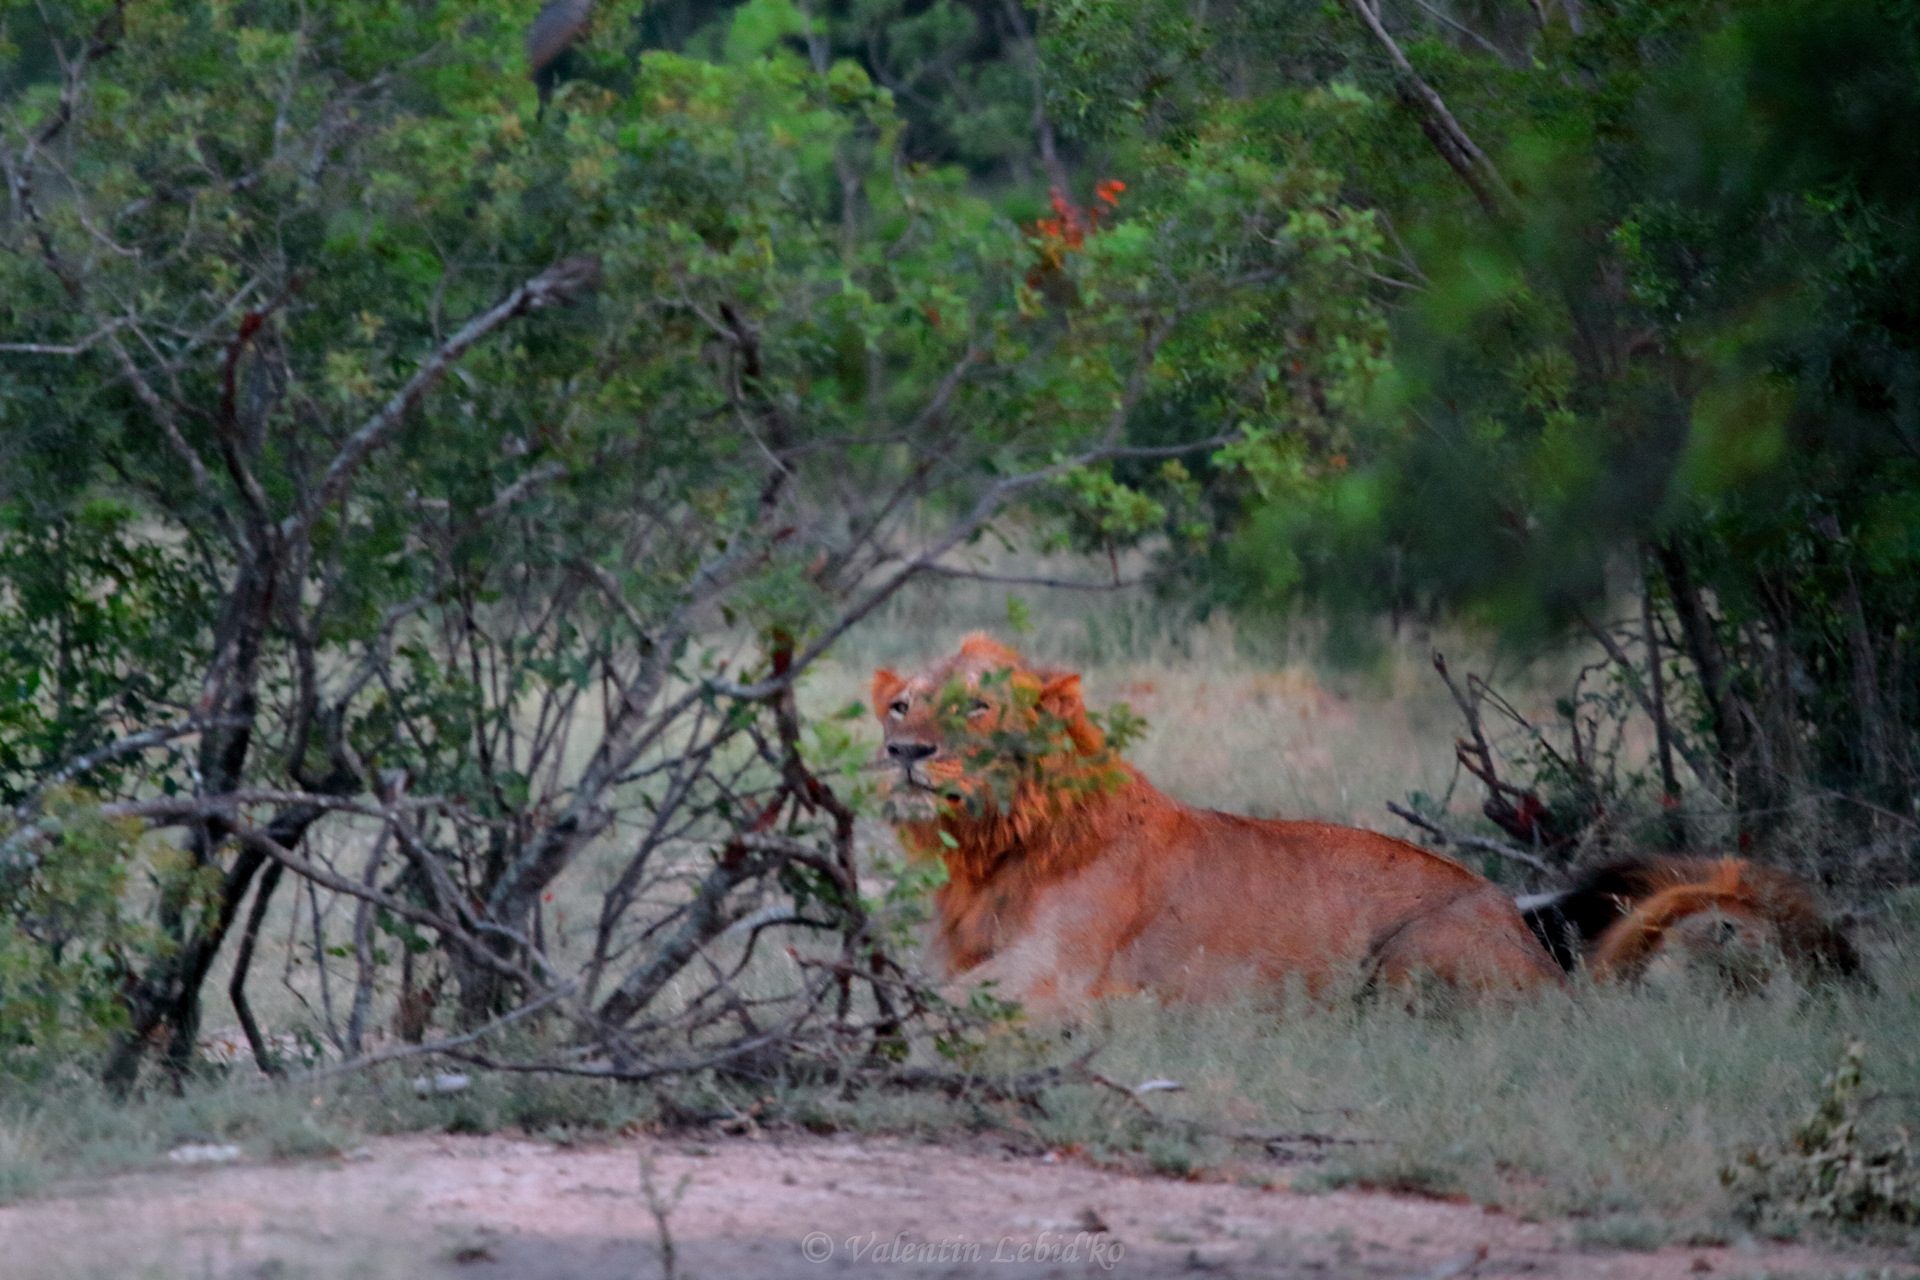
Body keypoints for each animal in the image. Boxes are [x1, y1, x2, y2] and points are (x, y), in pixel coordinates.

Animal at [879, 637, 1566, 1013]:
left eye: (977, 706)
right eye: (900, 706)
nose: (903, 751)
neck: (989, 854)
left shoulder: (1048, 969)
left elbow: (930, 1010)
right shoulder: (948, 961)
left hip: (1416, 952)